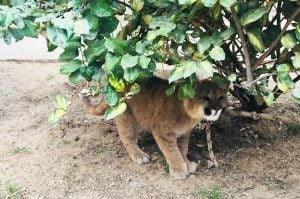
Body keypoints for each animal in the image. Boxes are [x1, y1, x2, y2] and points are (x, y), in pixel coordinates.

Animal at [82, 77, 227, 180]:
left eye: (221, 97)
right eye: (206, 97)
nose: (217, 108)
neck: (188, 113)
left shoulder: (184, 133)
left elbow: (183, 148)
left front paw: (187, 163)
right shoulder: (162, 132)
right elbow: (173, 152)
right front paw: (179, 170)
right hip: (125, 114)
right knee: (127, 136)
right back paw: (139, 155)